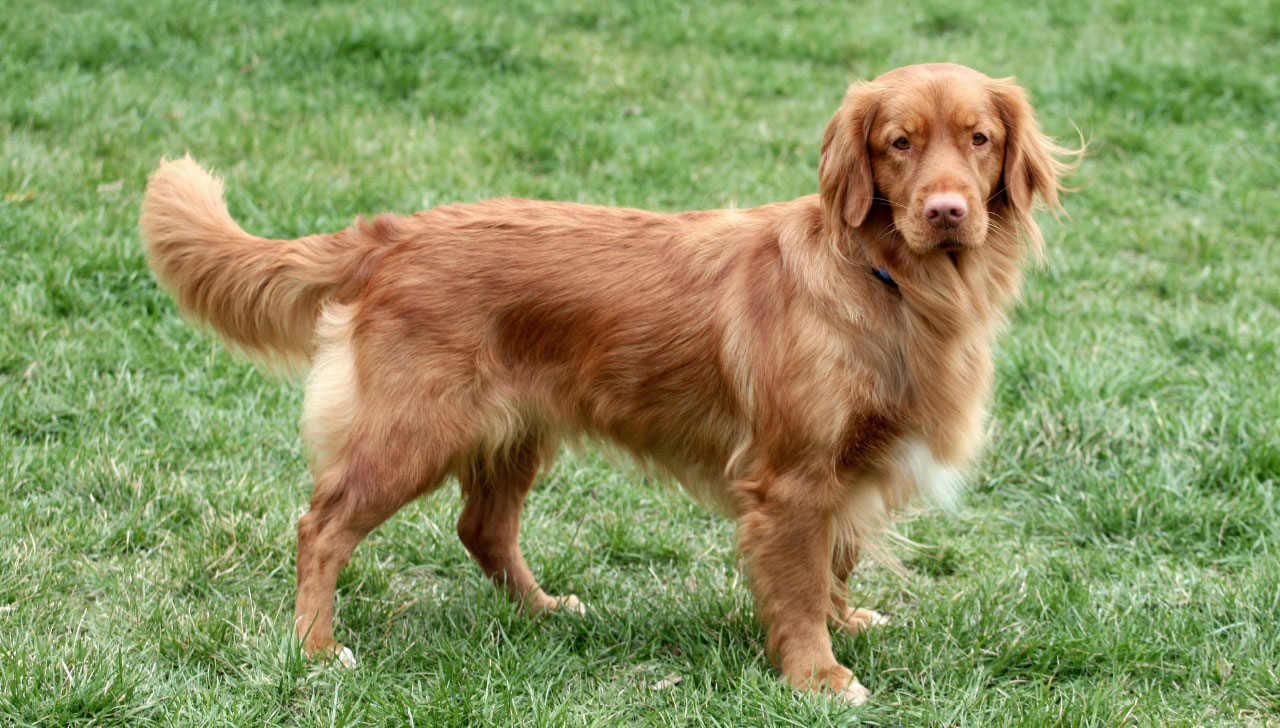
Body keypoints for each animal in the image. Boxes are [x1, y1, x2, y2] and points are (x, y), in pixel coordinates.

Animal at [142, 63, 1080, 706]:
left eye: (979, 139)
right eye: (899, 143)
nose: (948, 211)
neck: (886, 280)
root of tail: (394, 234)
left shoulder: (846, 470)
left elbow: (836, 562)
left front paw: (847, 623)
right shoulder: (793, 477)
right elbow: (802, 580)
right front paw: (819, 674)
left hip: (513, 432)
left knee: (482, 528)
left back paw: (545, 610)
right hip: (410, 435)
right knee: (321, 529)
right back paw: (315, 647)